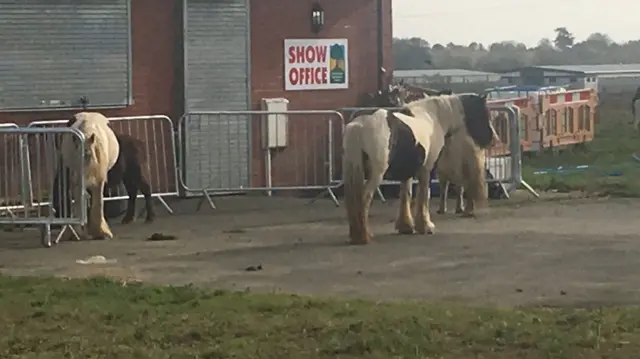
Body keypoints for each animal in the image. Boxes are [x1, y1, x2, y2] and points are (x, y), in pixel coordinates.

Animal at [60, 112, 121, 242]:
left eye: (87, 155)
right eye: (75, 156)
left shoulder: (99, 180)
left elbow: (98, 202)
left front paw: (102, 232)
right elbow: (79, 201)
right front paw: (77, 232)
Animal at [340, 93, 496, 245]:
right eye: (484, 113)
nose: (492, 140)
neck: (433, 117)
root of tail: (359, 125)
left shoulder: (407, 171)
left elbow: (406, 195)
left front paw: (406, 227)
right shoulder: (426, 169)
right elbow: (424, 195)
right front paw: (426, 226)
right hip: (376, 174)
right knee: (364, 198)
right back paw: (363, 236)